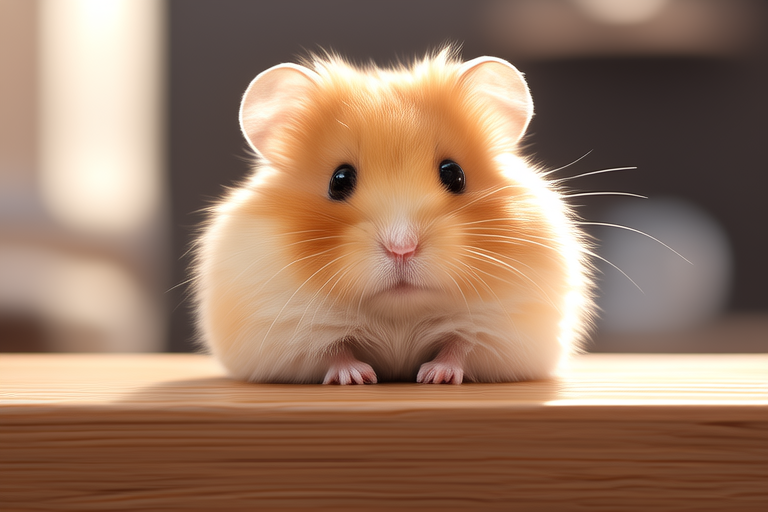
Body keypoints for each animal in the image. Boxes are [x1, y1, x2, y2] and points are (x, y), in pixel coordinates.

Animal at [193, 48, 594, 384]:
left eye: (454, 174)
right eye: (339, 180)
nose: (402, 248)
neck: (398, 316)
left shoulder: (502, 328)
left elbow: (459, 345)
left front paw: (435, 377)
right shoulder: (285, 330)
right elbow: (334, 351)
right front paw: (358, 378)